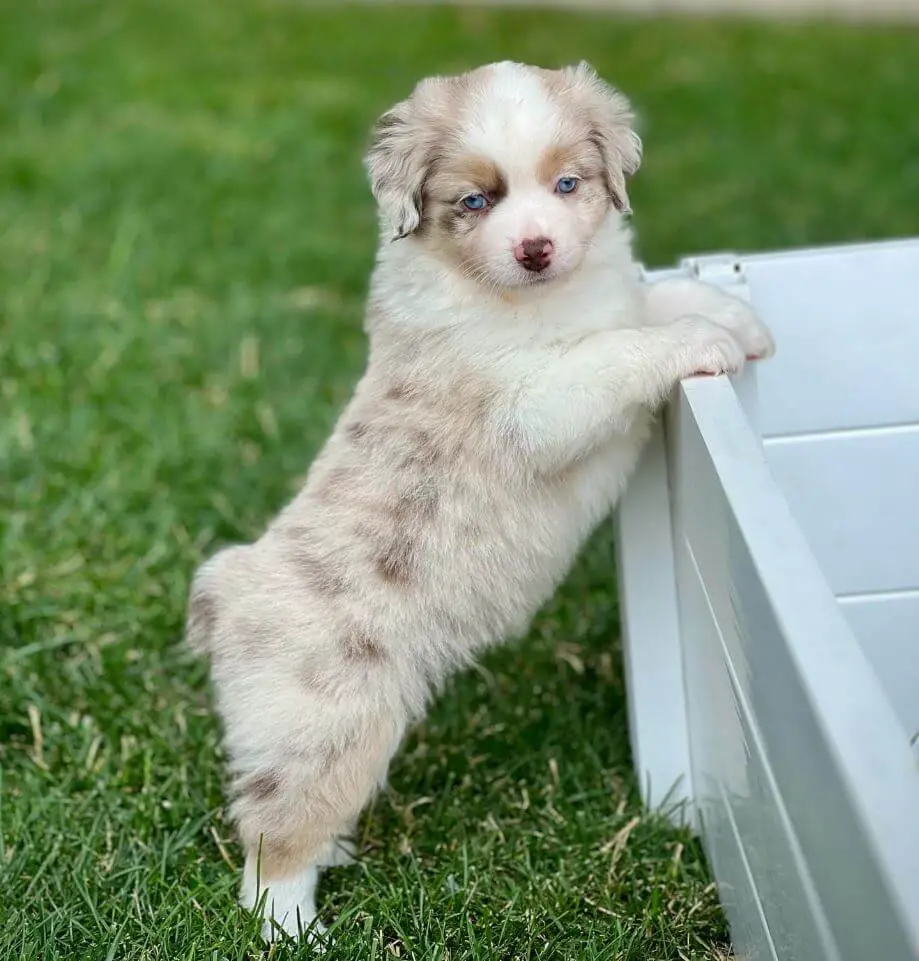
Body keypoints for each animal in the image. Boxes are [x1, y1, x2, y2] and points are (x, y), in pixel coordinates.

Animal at [187, 62, 776, 944]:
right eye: (475, 200)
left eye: (567, 183)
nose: (536, 248)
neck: (534, 297)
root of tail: (227, 592)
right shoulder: (536, 397)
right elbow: (621, 349)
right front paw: (708, 339)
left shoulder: (606, 303)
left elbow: (650, 302)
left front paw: (741, 319)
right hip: (328, 726)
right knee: (273, 837)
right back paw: (295, 926)